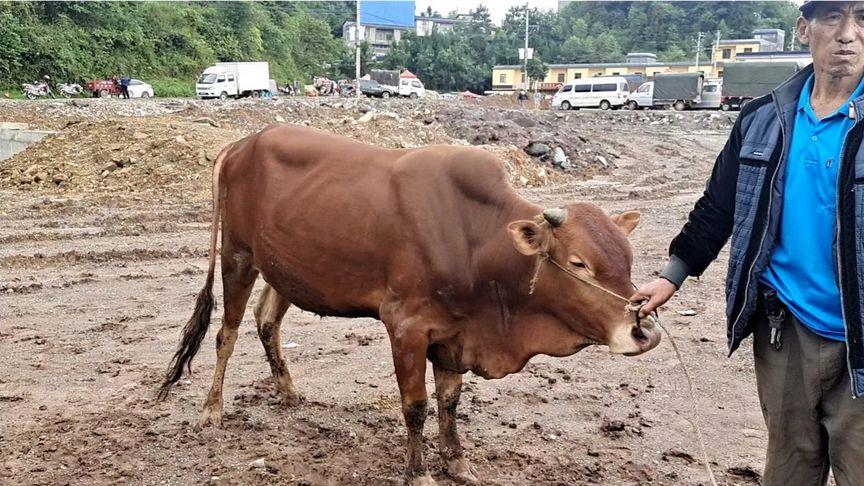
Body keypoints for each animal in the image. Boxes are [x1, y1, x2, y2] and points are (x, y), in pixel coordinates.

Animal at [160, 123, 660, 484]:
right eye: (579, 263)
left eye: (628, 259)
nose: (644, 330)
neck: (474, 238)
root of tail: (243, 143)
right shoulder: (406, 327)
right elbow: (415, 405)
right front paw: (419, 473)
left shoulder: (455, 333)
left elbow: (450, 402)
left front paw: (458, 463)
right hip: (237, 256)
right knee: (226, 333)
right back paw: (211, 410)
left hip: (284, 269)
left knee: (266, 321)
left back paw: (287, 391)